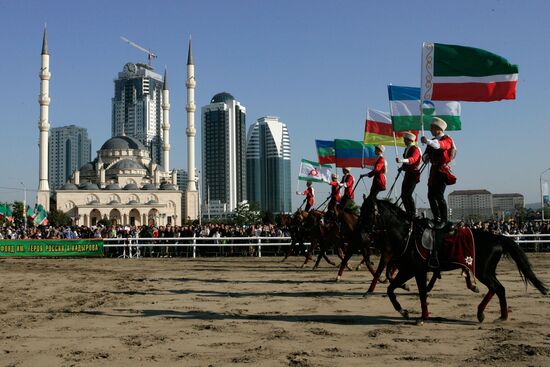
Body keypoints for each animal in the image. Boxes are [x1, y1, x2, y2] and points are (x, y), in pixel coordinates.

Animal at [362, 200, 548, 324]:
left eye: (368, 211)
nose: (363, 233)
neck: (408, 234)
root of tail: (497, 238)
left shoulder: (418, 270)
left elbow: (421, 292)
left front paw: (423, 317)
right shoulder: (408, 269)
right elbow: (391, 289)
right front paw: (404, 311)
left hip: (482, 270)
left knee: (497, 288)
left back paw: (489, 313)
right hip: (486, 271)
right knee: (499, 289)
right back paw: (497, 315)